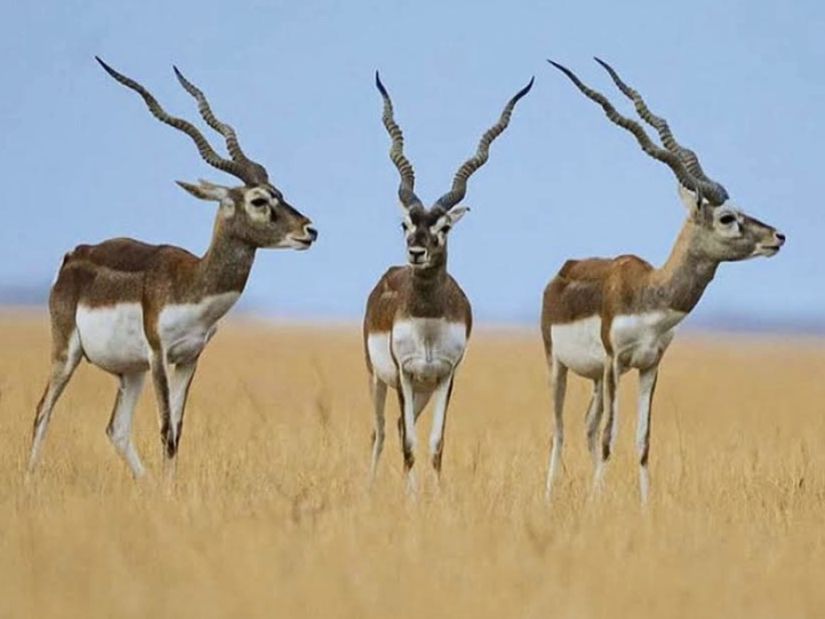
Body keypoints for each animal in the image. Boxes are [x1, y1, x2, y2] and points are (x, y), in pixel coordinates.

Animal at [27, 59, 318, 480]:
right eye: (259, 200)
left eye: (280, 193)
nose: (309, 230)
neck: (193, 283)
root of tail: (74, 256)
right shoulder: (159, 355)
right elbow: (165, 430)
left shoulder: (190, 357)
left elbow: (177, 432)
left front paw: (169, 489)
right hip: (68, 352)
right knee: (43, 410)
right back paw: (30, 478)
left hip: (131, 371)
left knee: (116, 429)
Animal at [364, 71, 532, 490]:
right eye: (405, 224)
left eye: (443, 227)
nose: (416, 252)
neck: (427, 320)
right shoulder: (405, 373)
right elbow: (409, 444)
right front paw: (411, 498)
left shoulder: (444, 375)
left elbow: (436, 444)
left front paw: (436, 495)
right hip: (377, 378)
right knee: (380, 432)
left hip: (422, 389)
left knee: (396, 426)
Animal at [540, 58, 784, 504]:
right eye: (727, 217)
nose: (778, 236)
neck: (649, 294)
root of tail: (563, 271)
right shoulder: (616, 362)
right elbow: (610, 437)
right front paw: (597, 505)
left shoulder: (650, 365)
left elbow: (641, 442)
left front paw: (643, 507)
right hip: (559, 366)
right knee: (560, 431)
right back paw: (550, 498)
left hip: (596, 378)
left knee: (585, 425)